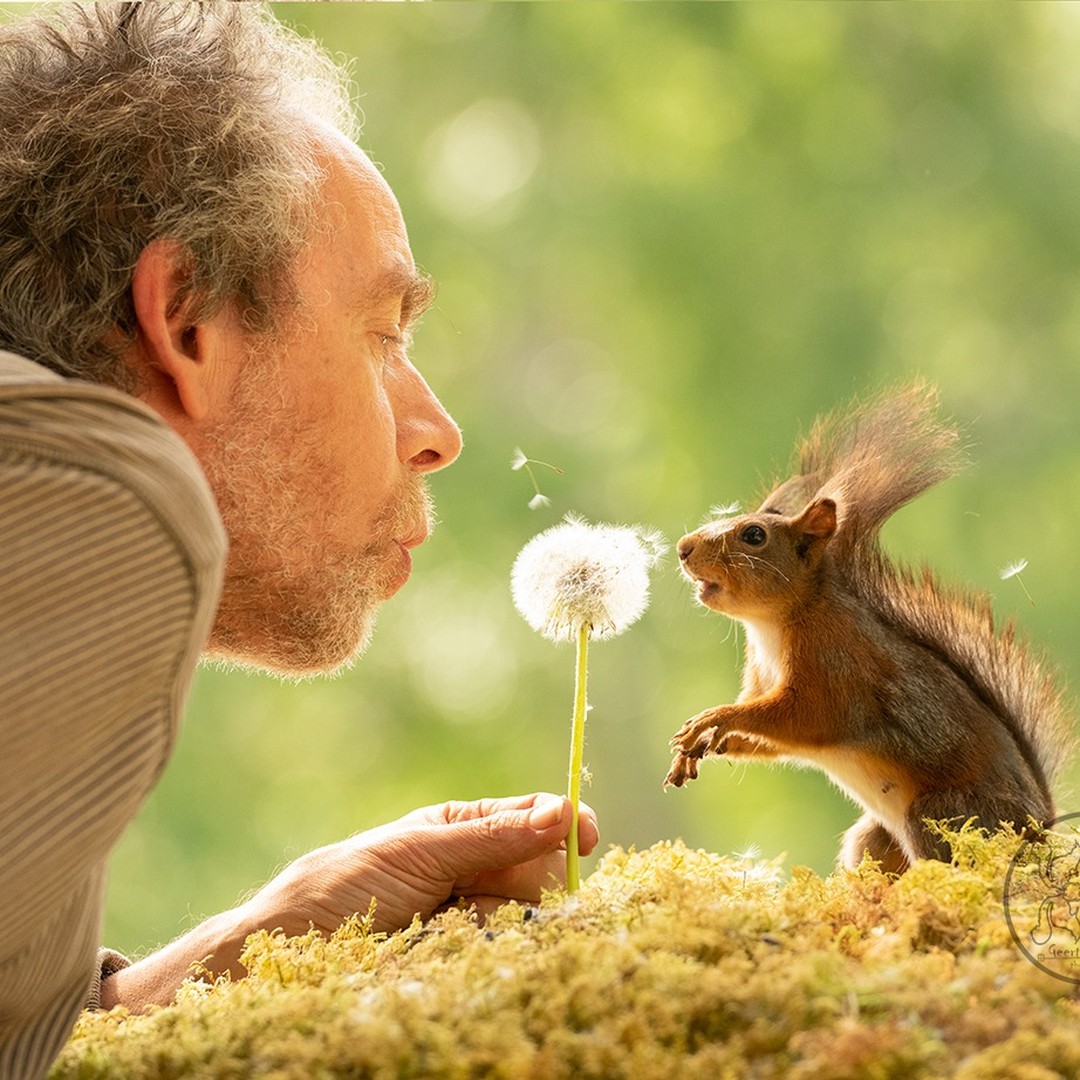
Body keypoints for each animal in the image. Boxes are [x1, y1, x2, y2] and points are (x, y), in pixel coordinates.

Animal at [664, 382, 1073, 873]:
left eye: (754, 536)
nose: (683, 548)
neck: (774, 625)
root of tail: (1039, 827)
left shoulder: (835, 665)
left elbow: (802, 718)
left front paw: (715, 720)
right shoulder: (760, 676)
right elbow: (773, 739)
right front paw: (710, 743)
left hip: (941, 816)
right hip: (875, 839)